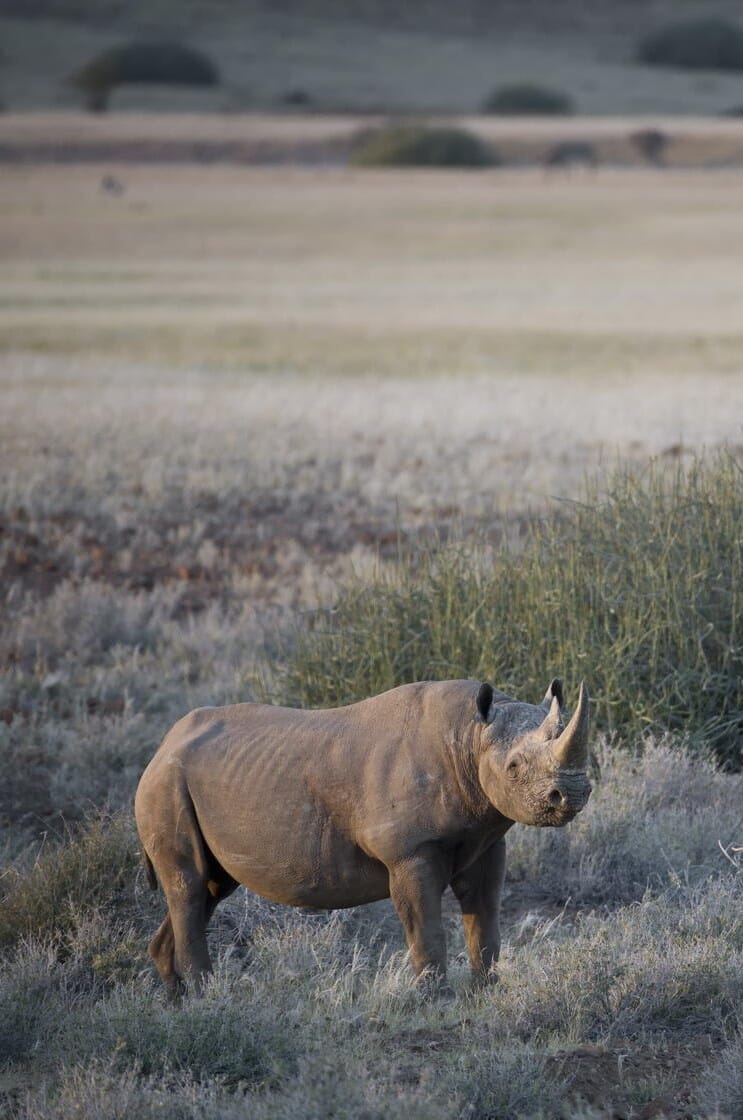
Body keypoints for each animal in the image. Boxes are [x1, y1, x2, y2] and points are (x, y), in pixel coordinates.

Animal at [135, 677, 592, 996]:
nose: (572, 793)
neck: (471, 736)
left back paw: (179, 1002)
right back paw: (208, 996)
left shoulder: (486, 840)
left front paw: (486, 992)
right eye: (513, 768)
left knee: (208, 889)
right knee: (189, 884)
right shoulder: (410, 851)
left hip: (191, 781)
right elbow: (427, 927)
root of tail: (162, 746)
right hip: (165, 785)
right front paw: (436, 998)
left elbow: (485, 921)